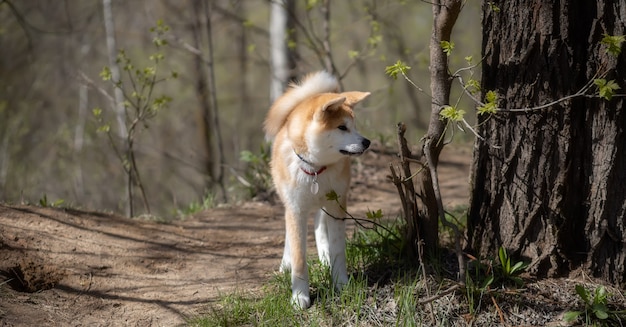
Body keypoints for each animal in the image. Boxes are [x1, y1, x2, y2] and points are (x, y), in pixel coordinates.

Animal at [264, 70, 370, 308]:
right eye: (342, 127)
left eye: (355, 126)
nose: (367, 142)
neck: (314, 170)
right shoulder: (295, 210)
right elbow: (299, 257)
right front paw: (299, 296)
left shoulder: (337, 206)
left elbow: (338, 249)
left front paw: (341, 284)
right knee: (291, 236)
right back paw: (286, 264)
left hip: (327, 203)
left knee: (320, 228)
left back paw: (325, 257)